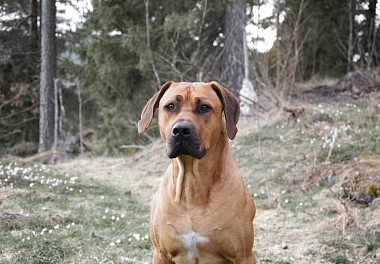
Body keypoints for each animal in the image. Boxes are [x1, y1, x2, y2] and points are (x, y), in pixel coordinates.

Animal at [137, 81, 255, 262]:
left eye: (204, 107)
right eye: (170, 106)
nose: (181, 130)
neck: (192, 186)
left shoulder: (244, 255)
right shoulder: (161, 254)